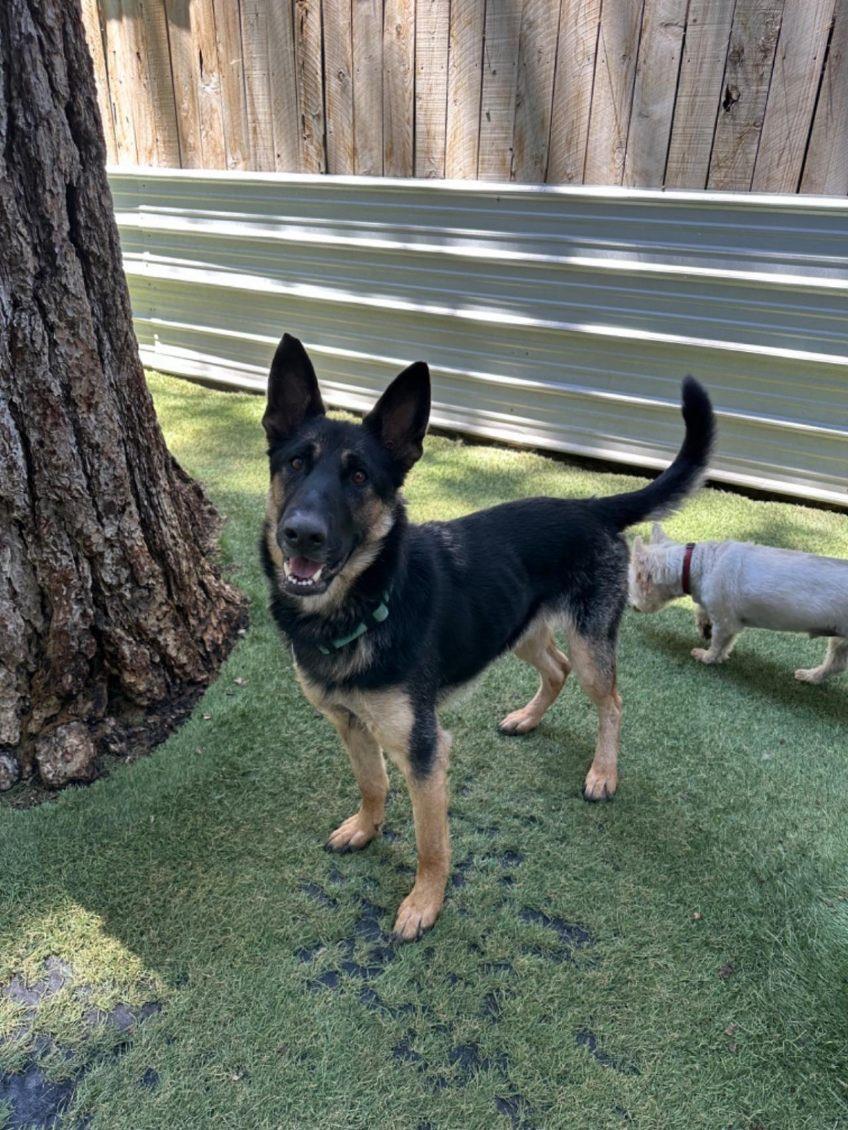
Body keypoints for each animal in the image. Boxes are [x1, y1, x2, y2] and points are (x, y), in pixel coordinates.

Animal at [261, 329, 719, 940]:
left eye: (359, 478)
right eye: (294, 463)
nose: (301, 535)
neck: (365, 602)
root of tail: (591, 507)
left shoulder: (424, 751)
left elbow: (431, 842)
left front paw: (424, 903)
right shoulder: (350, 724)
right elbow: (372, 784)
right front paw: (365, 827)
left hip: (589, 644)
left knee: (611, 700)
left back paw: (603, 772)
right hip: (518, 628)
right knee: (556, 669)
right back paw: (527, 718)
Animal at [633, 524, 848, 682]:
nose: (633, 607)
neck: (698, 564)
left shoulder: (724, 620)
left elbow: (718, 642)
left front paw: (707, 656)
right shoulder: (729, 619)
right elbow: (722, 637)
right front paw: (705, 628)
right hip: (841, 642)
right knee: (835, 664)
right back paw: (810, 676)